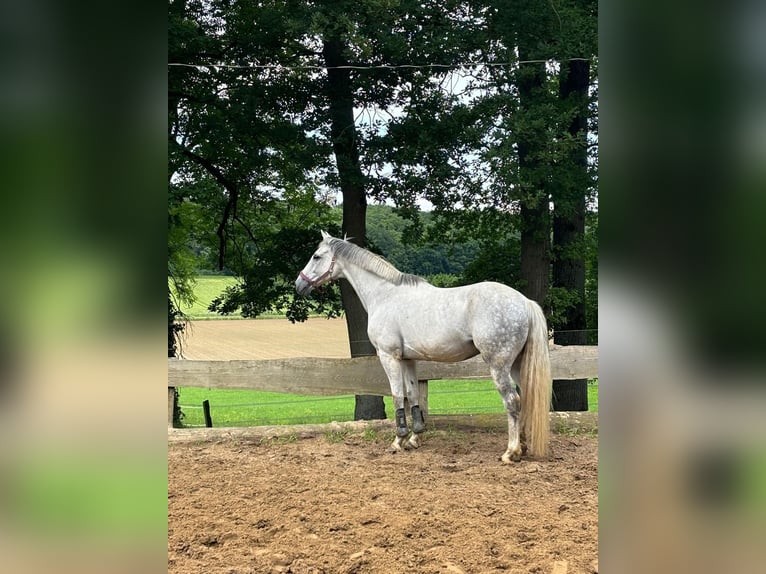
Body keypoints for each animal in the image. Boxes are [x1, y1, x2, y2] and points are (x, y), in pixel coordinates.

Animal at [294, 232, 552, 462]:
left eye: (316, 256)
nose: (299, 284)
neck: (385, 295)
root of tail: (524, 302)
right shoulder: (408, 359)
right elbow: (413, 395)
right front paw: (414, 438)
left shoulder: (388, 357)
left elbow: (397, 395)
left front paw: (398, 440)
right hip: (517, 365)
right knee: (525, 398)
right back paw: (523, 447)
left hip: (499, 366)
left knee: (512, 401)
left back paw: (511, 452)